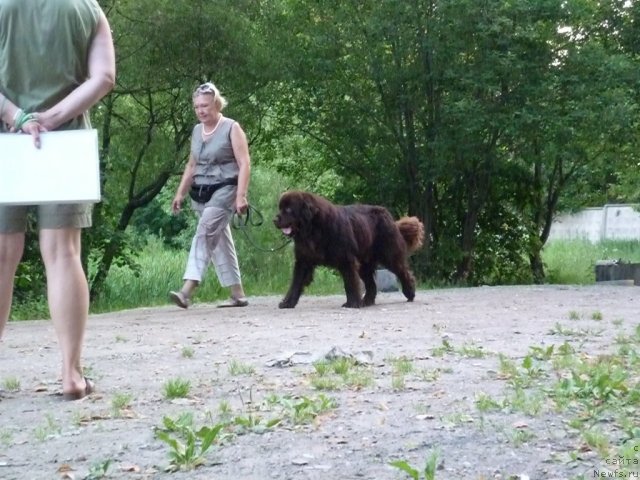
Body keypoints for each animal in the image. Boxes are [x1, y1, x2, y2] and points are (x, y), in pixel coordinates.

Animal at [272, 189, 424, 310]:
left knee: (403, 272)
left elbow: (350, 282)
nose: (275, 220)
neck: (313, 230)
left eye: (289, 210)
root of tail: (390, 217)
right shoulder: (304, 261)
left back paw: (410, 293)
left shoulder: (346, 259)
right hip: (364, 263)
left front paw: (352, 303)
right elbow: (295, 283)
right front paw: (287, 303)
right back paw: (366, 301)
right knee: (371, 284)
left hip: (389, 256)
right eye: (280, 208)